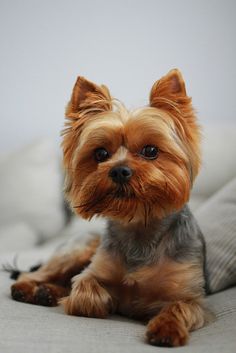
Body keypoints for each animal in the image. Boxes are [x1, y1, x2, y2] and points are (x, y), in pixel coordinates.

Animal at [11, 69, 210, 346]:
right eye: (100, 154)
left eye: (150, 150)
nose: (119, 170)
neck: (139, 225)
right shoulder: (92, 273)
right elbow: (84, 291)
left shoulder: (191, 296)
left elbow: (178, 306)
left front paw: (166, 328)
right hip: (80, 247)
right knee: (35, 274)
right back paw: (31, 289)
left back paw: (46, 293)